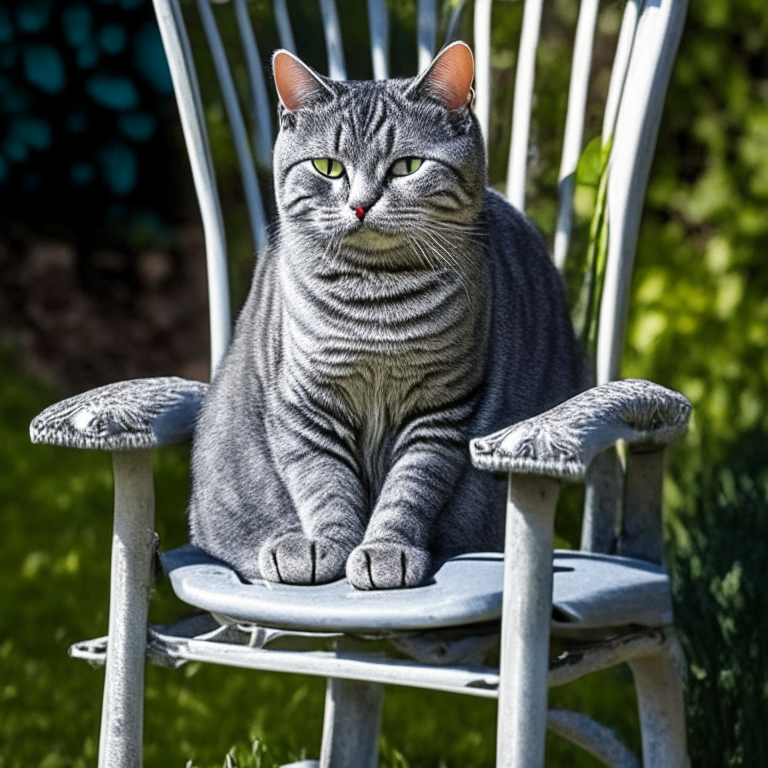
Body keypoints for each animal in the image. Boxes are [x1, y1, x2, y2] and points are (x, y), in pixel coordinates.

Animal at [188, 42, 584, 592]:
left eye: (407, 166)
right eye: (328, 167)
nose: (360, 205)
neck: (376, 301)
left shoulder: (441, 411)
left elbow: (407, 491)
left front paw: (384, 550)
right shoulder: (306, 406)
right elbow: (324, 486)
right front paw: (323, 546)